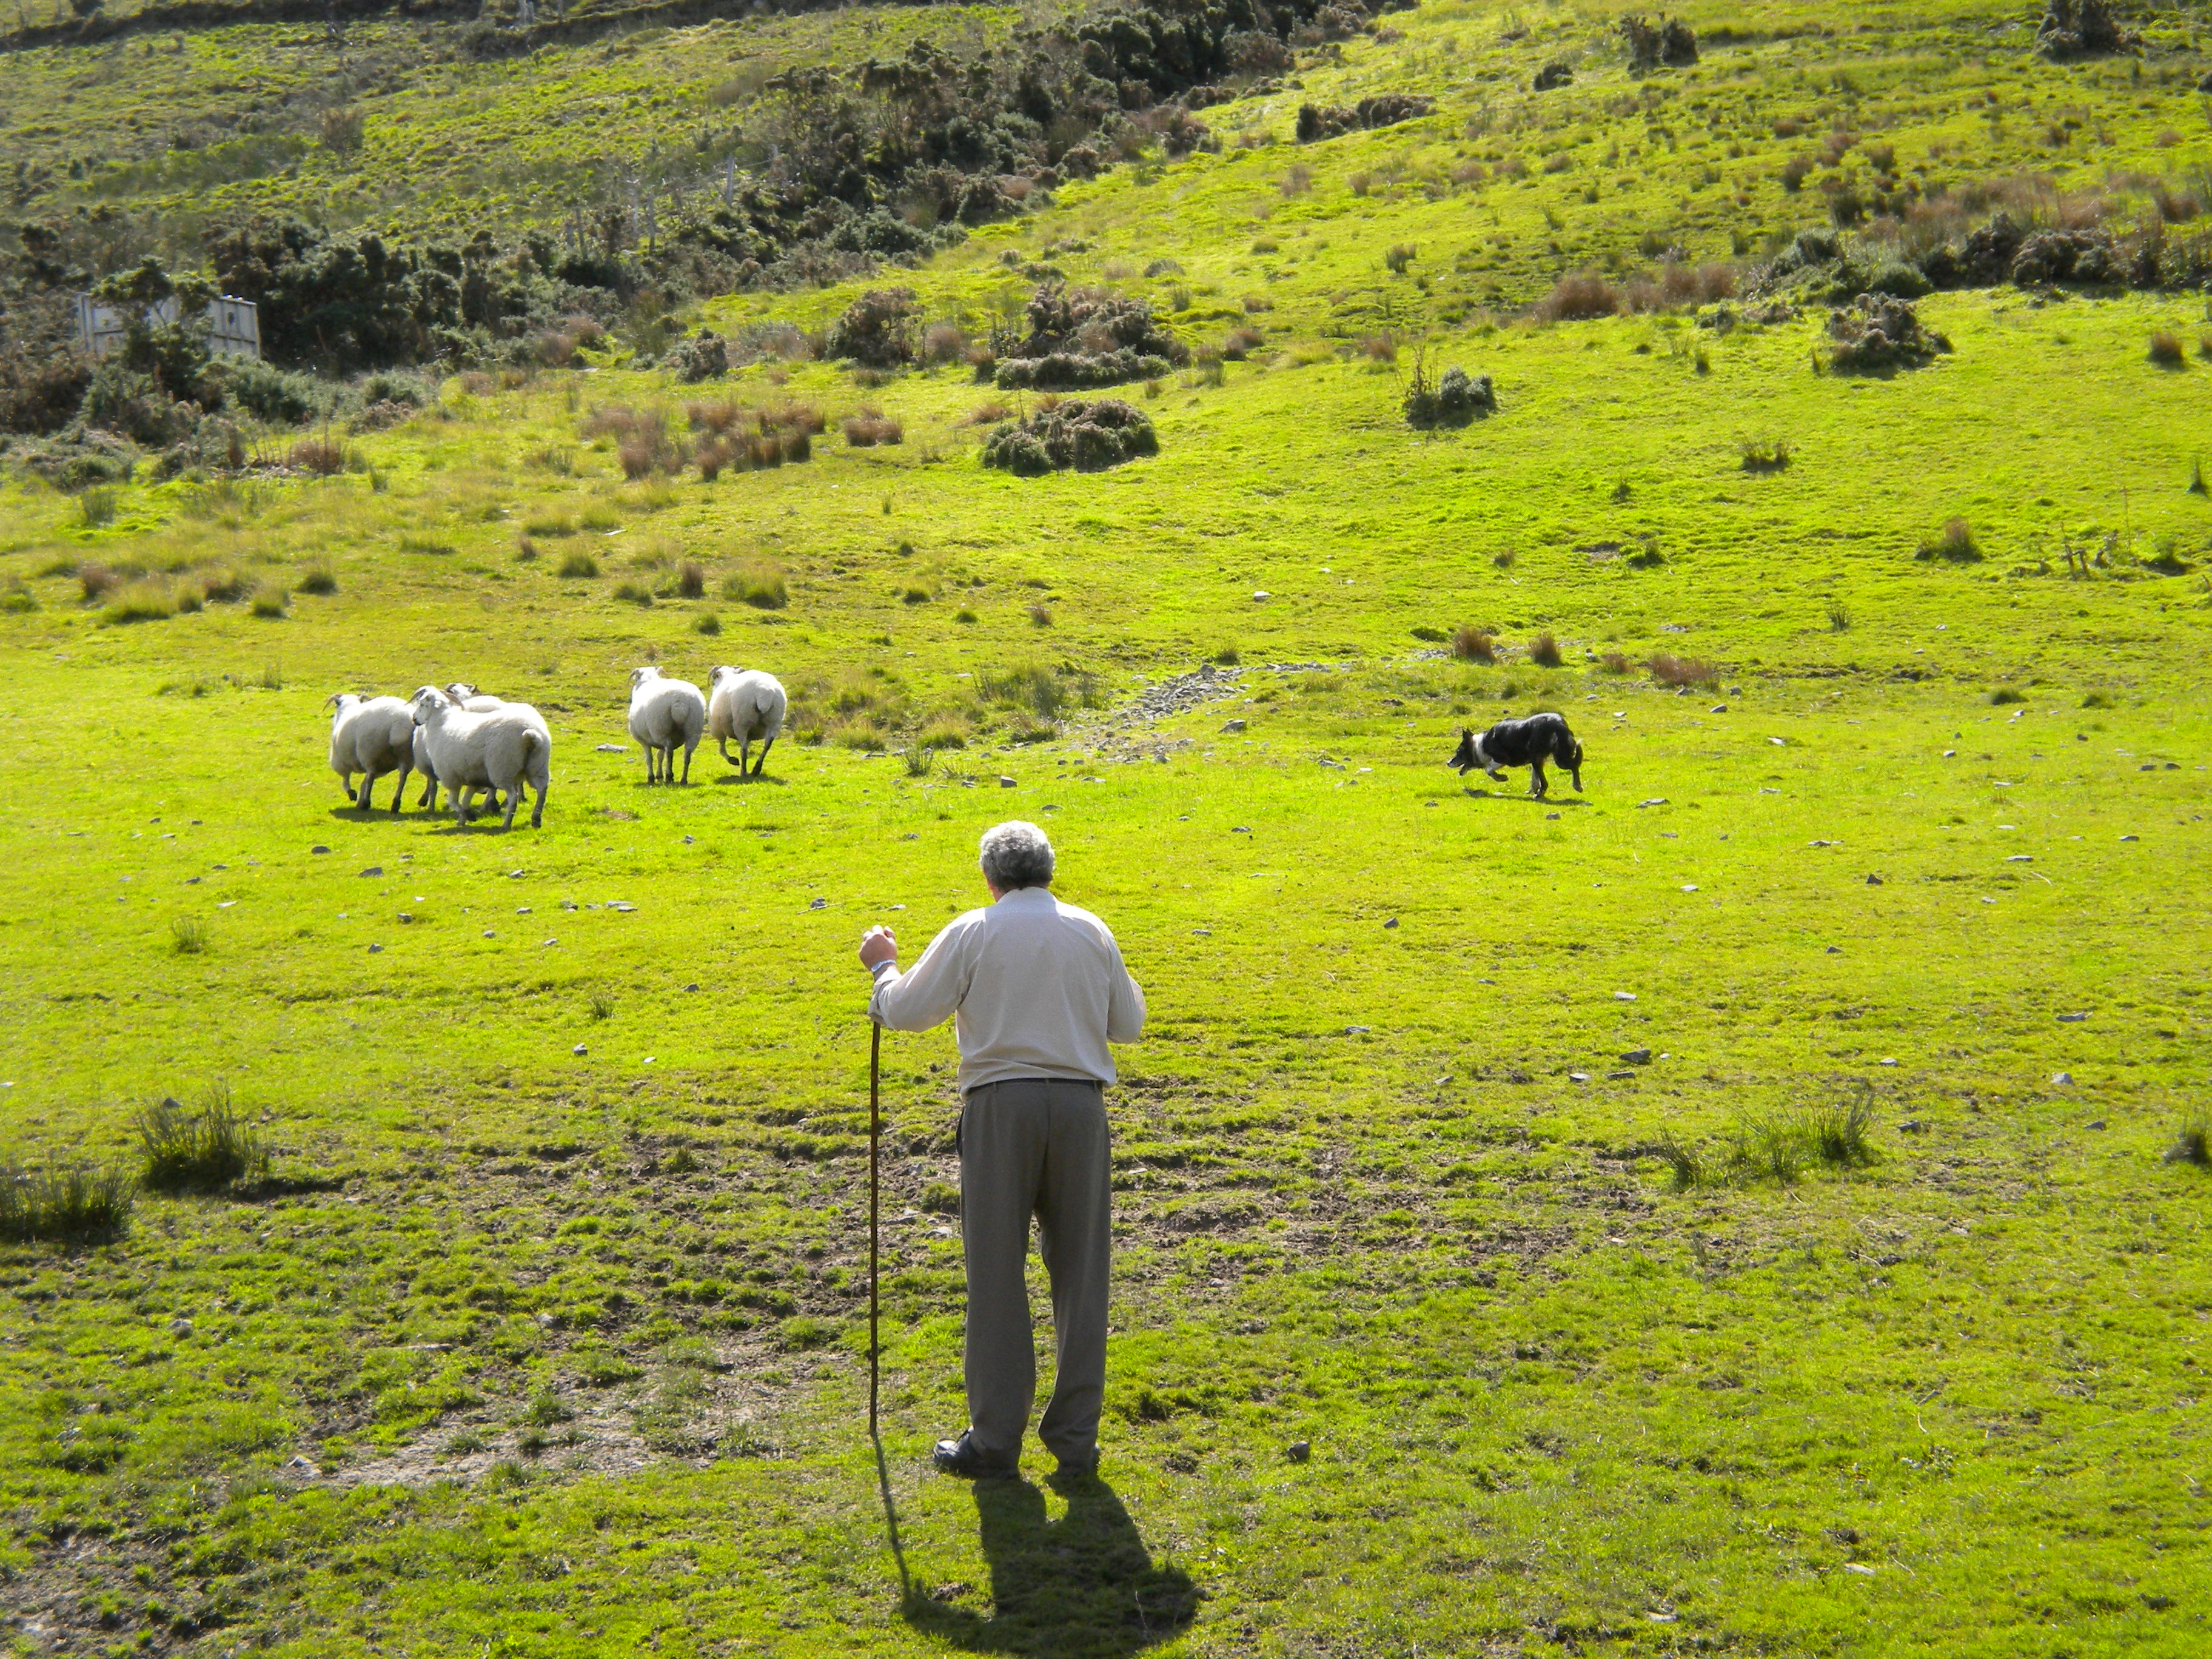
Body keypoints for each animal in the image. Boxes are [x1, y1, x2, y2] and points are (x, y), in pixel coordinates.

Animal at [326, 693, 416, 813]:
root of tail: (400, 721)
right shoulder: (382, 769)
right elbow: (362, 783)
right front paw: (358, 799)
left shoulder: (339, 761)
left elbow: (346, 780)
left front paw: (353, 795)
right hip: (407, 755)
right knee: (403, 776)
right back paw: (395, 804)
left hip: (369, 752)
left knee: (370, 776)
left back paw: (366, 803)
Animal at [409, 686, 550, 829]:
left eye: (422, 704)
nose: (414, 719)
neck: (440, 722)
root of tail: (529, 734)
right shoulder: (474, 778)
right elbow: (465, 800)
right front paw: (462, 821)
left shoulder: (450, 777)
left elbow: (453, 802)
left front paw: (469, 815)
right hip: (538, 765)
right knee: (542, 789)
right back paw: (536, 819)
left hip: (502, 769)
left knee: (513, 797)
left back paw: (507, 823)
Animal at [627, 665, 706, 784]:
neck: (649, 680)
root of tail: (680, 701)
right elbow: (660, 756)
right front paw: (659, 775)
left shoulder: (644, 740)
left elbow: (649, 758)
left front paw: (651, 777)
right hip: (694, 730)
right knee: (687, 754)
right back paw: (683, 779)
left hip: (660, 728)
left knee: (669, 751)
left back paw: (669, 776)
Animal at [708, 666, 788, 778]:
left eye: (715, 677)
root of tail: (764, 691)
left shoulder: (718, 729)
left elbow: (722, 750)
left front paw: (732, 760)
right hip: (774, 721)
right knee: (768, 744)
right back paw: (756, 769)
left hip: (742, 722)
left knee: (744, 749)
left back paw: (743, 772)